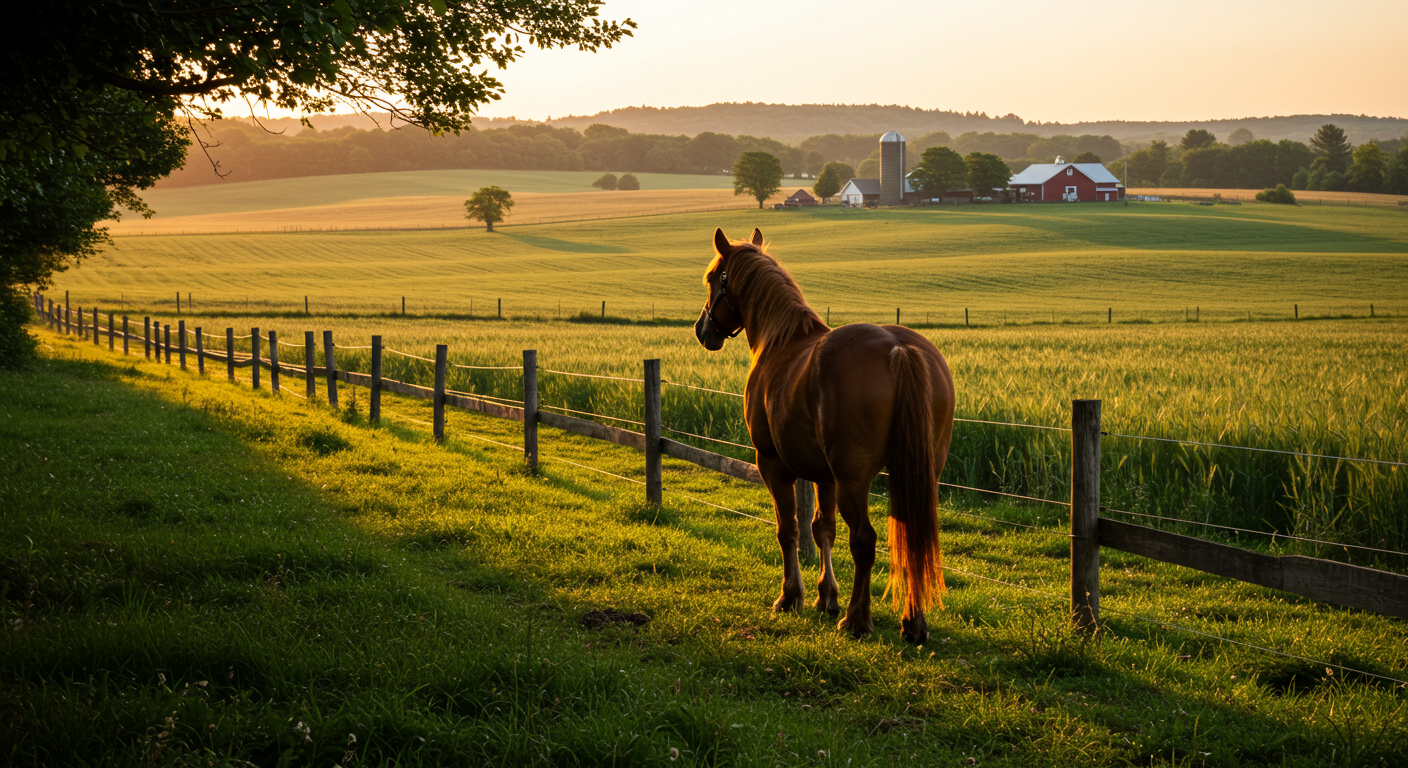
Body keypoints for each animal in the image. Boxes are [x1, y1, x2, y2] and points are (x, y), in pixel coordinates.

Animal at [694, 227, 956, 644]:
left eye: (711, 278)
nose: (702, 330)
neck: (781, 341)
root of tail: (899, 348)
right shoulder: (824, 476)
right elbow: (823, 530)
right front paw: (825, 596)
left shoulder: (773, 465)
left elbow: (789, 530)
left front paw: (791, 597)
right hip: (914, 473)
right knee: (910, 535)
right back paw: (913, 623)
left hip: (854, 479)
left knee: (864, 540)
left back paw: (856, 619)